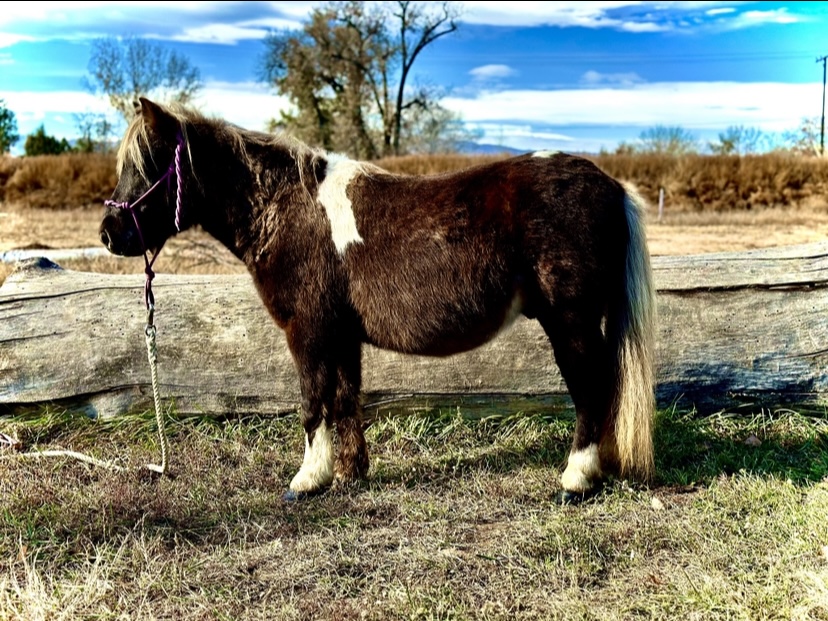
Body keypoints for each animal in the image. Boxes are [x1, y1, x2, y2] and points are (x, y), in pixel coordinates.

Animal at [101, 98, 656, 503]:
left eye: (150, 165)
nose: (108, 232)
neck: (289, 210)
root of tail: (611, 186)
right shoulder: (342, 336)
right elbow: (346, 401)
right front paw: (350, 474)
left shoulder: (308, 332)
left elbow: (312, 403)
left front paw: (307, 480)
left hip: (571, 321)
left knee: (592, 389)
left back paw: (577, 479)